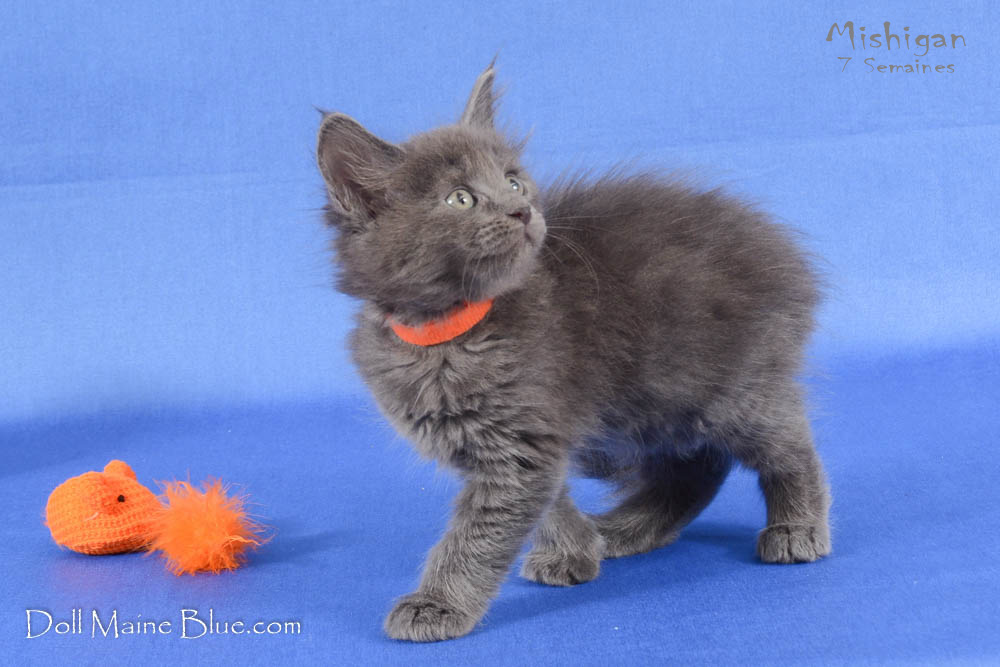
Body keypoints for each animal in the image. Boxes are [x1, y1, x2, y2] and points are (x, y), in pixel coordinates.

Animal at [315, 63, 831, 642]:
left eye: (513, 181)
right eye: (460, 199)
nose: (522, 210)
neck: (448, 333)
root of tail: (783, 255)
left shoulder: (519, 441)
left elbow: (480, 530)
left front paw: (438, 603)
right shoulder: (523, 441)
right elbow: (546, 499)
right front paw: (576, 549)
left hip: (723, 388)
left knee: (785, 444)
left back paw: (797, 527)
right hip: (644, 412)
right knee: (695, 465)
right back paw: (627, 529)